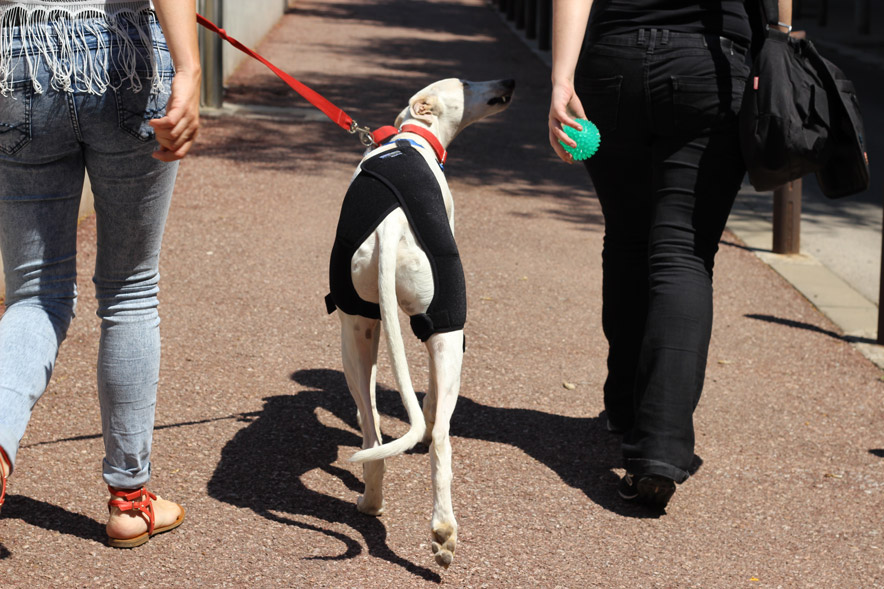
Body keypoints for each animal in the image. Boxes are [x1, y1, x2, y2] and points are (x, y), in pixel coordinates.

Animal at [326, 78, 516, 564]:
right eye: (466, 82)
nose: (508, 82)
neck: (410, 138)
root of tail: (390, 228)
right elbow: (431, 407)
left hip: (357, 330)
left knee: (372, 433)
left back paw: (371, 503)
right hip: (448, 327)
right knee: (443, 436)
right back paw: (443, 531)